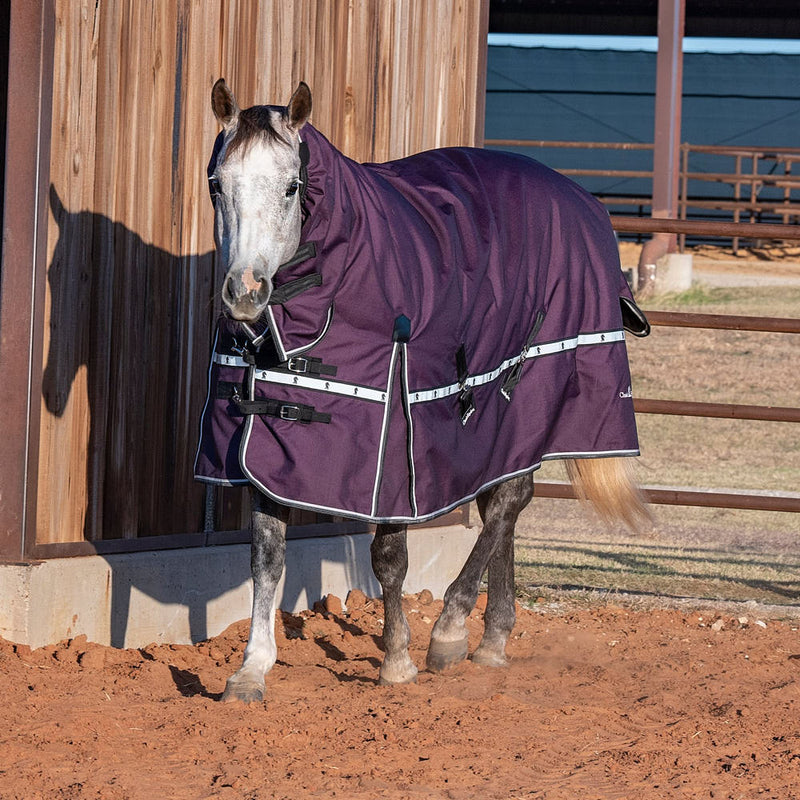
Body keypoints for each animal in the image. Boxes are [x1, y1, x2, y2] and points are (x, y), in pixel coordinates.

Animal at [197, 80, 650, 703]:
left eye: (291, 186)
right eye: (217, 184)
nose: (245, 293)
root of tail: (582, 201)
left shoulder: (390, 438)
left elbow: (389, 556)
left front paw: (397, 659)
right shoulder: (266, 436)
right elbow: (267, 554)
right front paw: (251, 670)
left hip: (531, 393)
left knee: (506, 503)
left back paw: (451, 631)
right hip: (499, 424)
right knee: (504, 501)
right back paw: (492, 639)